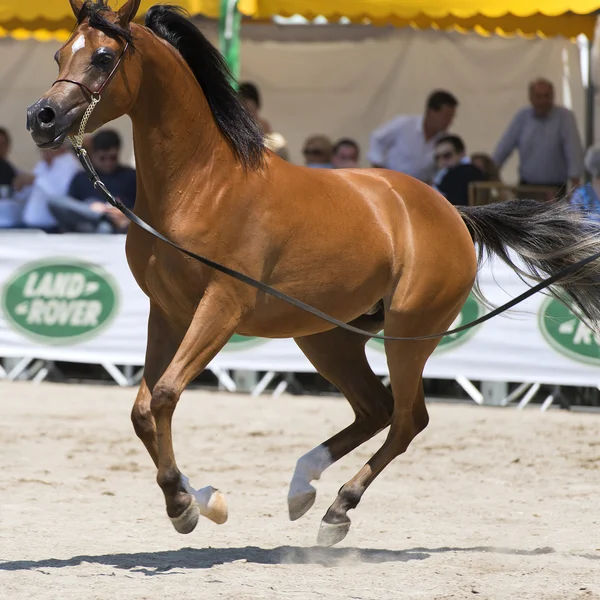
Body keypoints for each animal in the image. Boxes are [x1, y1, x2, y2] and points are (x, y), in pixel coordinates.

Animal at [28, 0, 600, 548]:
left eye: (104, 57)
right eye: (57, 54)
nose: (41, 117)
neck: (199, 187)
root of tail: (451, 211)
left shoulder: (220, 308)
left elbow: (165, 396)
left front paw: (187, 505)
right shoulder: (167, 312)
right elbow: (145, 409)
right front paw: (198, 498)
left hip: (409, 334)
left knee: (407, 418)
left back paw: (337, 509)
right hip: (328, 337)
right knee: (376, 409)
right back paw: (302, 486)